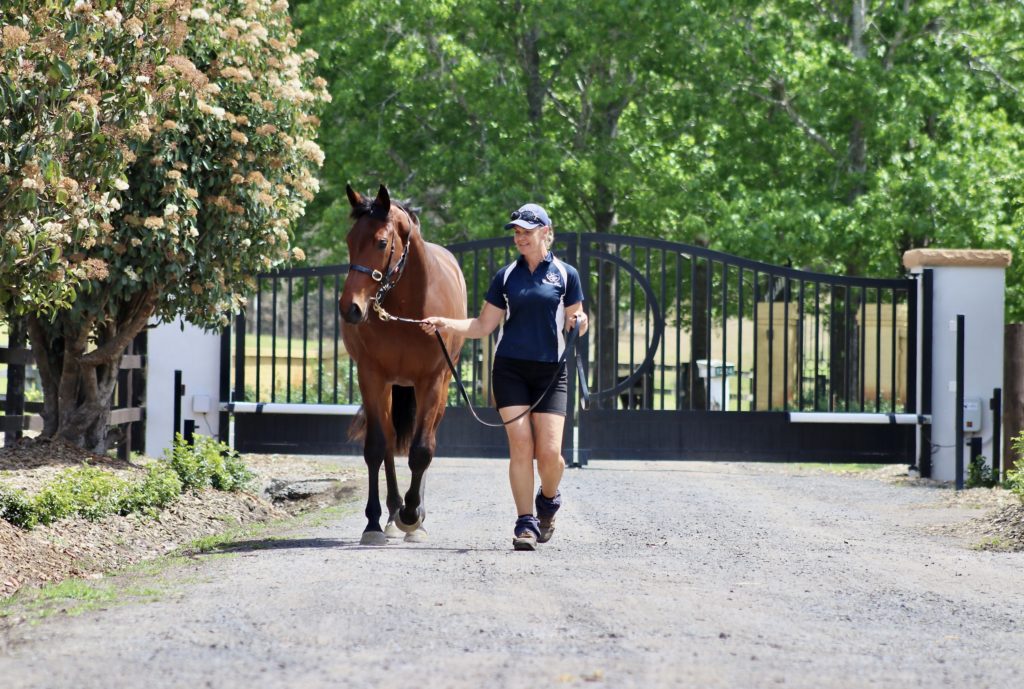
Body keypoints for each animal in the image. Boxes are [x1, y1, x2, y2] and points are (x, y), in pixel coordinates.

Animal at [339, 183, 467, 545]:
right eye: (350, 239)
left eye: (382, 242)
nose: (350, 307)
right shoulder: (372, 378)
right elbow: (376, 448)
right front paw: (374, 521)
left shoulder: (432, 381)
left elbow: (422, 450)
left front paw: (413, 516)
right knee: (390, 443)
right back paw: (393, 512)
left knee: (425, 441)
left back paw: (414, 515)